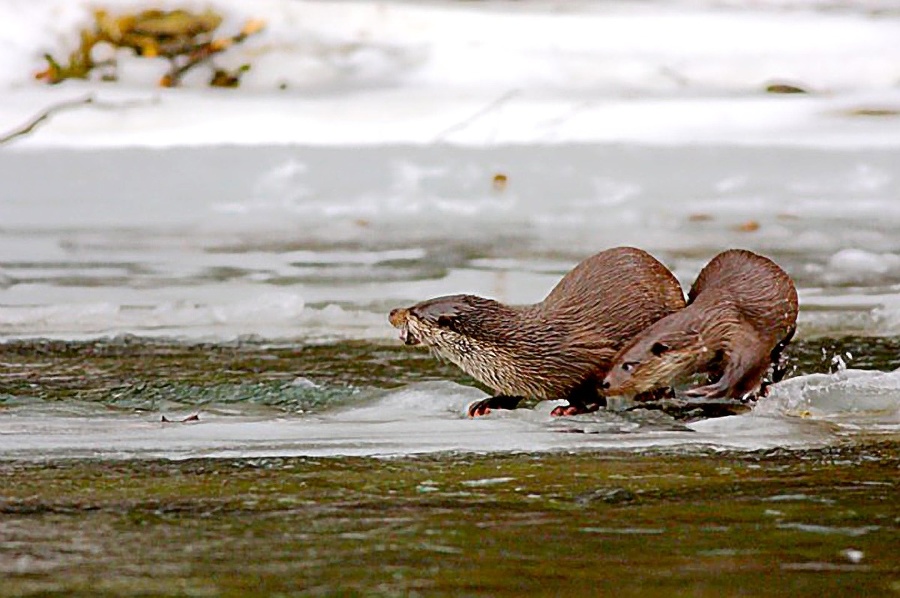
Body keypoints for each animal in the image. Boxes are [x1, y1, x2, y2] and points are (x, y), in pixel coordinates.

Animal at [384, 246, 684, 420]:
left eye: (415, 312)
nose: (392, 312)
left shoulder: (592, 355)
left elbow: (593, 389)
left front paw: (572, 408)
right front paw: (488, 403)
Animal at [600, 248, 800, 404]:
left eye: (628, 365)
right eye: (612, 362)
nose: (604, 384)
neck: (712, 325)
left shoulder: (739, 333)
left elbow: (745, 364)